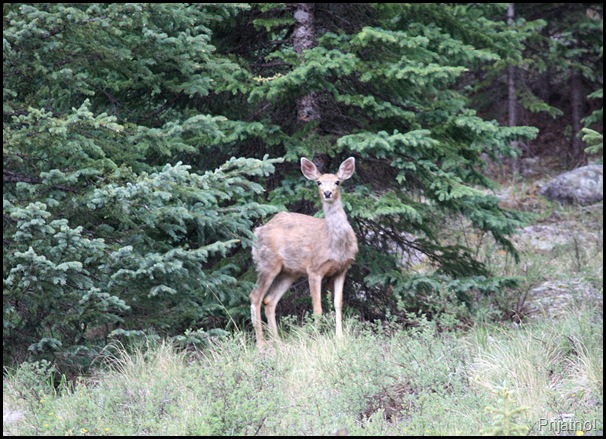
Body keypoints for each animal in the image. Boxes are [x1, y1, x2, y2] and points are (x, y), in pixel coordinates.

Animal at [249, 156, 358, 348]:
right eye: (319, 182)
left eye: (337, 182)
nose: (327, 193)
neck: (336, 245)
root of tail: (258, 231)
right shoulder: (314, 269)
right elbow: (317, 309)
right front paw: (316, 339)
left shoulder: (342, 268)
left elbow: (338, 303)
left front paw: (340, 338)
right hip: (267, 263)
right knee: (255, 297)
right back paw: (261, 344)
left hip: (289, 272)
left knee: (269, 300)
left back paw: (278, 341)